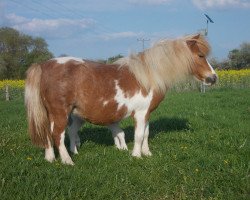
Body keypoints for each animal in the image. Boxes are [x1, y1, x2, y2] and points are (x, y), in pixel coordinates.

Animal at [24, 34, 217, 165]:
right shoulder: (140, 113)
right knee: (57, 134)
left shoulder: (146, 113)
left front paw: (147, 153)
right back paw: (67, 161)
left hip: (54, 114)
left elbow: (145, 133)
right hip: (60, 113)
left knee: (49, 133)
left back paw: (52, 158)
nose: (213, 78)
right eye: (200, 55)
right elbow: (138, 135)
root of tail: (43, 65)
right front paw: (136, 156)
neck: (147, 76)